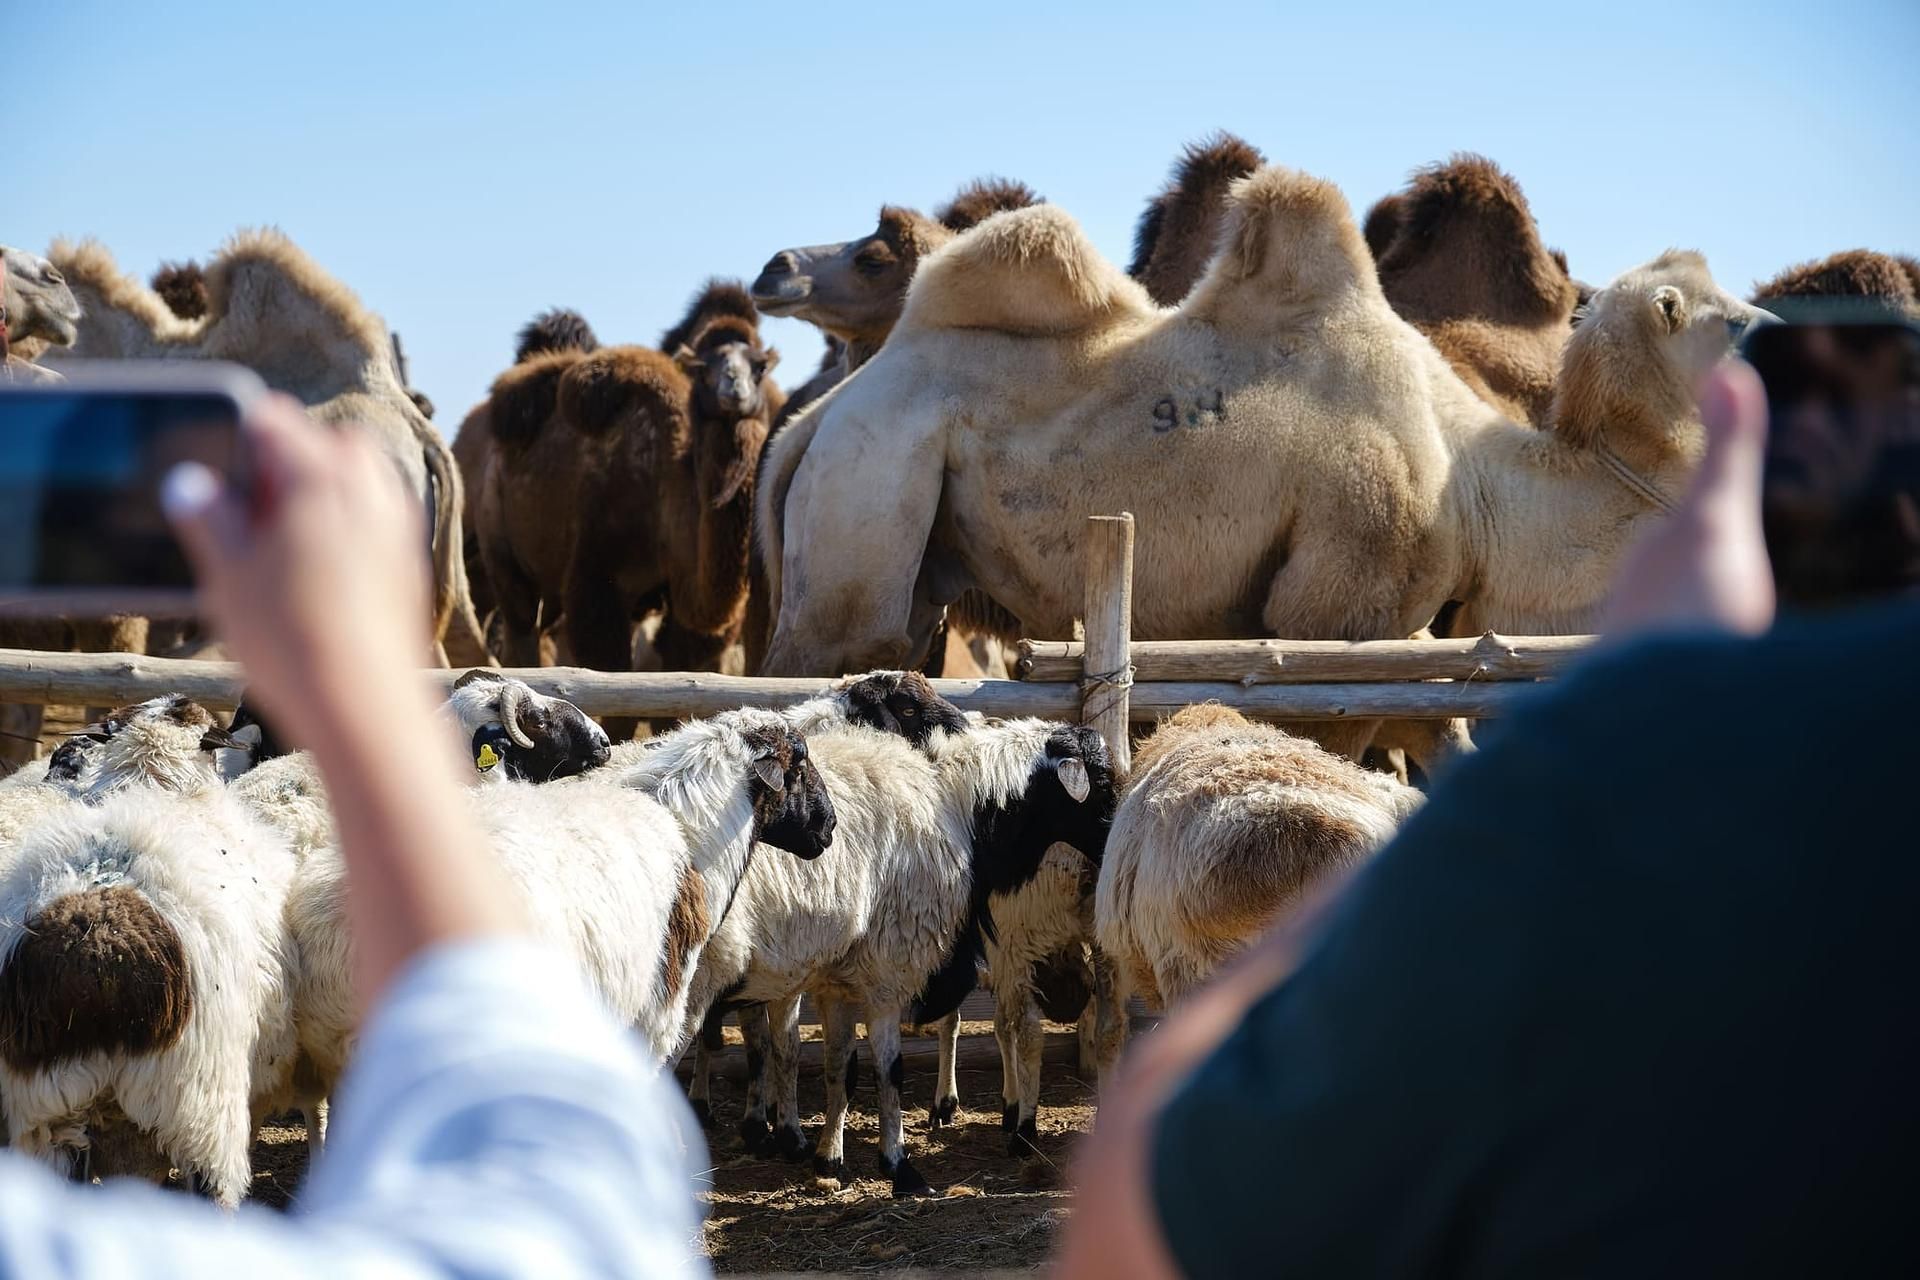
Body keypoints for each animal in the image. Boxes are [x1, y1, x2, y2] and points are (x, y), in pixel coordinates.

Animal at [687, 694, 1121, 1197]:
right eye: (1102, 781)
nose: (1120, 840)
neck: (958, 811)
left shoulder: (836, 982)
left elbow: (840, 1068)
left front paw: (828, 1158)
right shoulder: (888, 973)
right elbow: (888, 1073)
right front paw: (897, 1165)